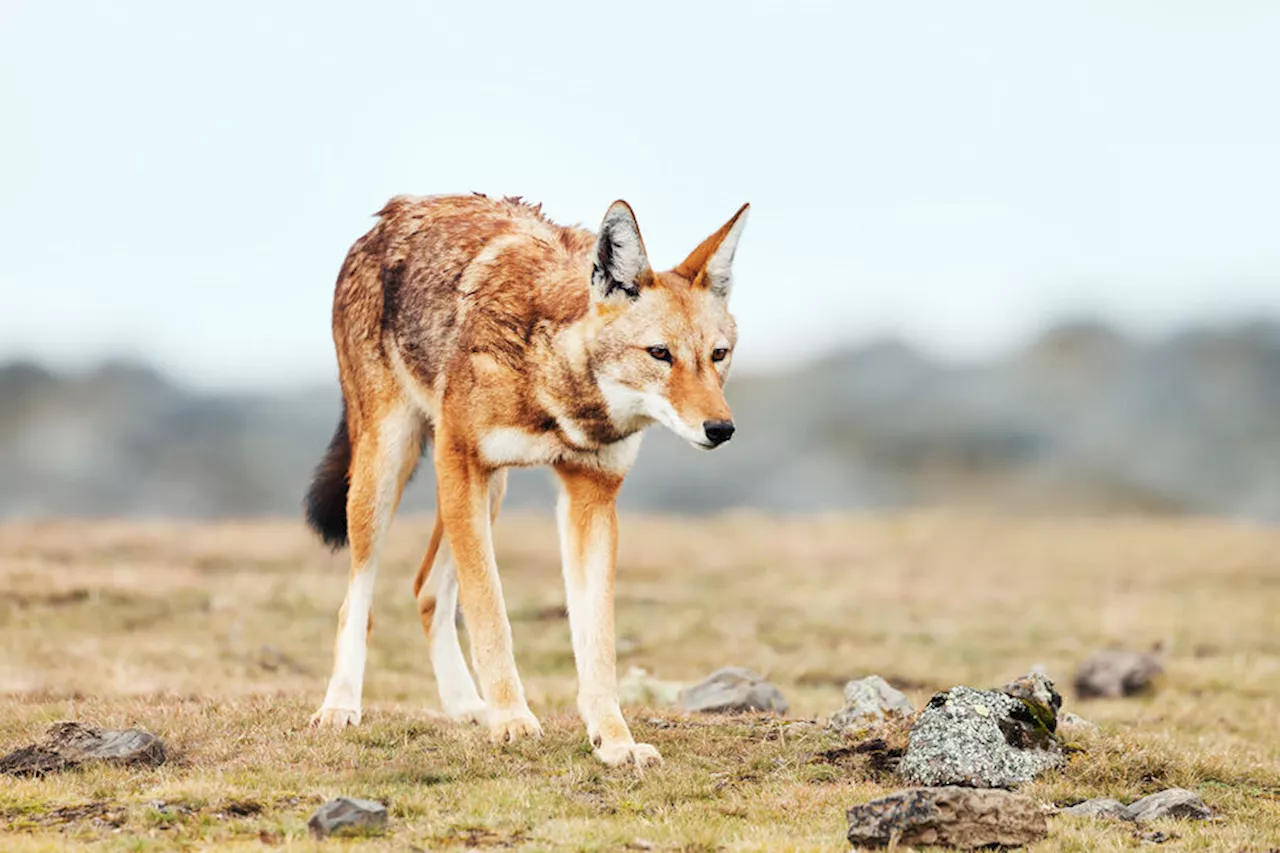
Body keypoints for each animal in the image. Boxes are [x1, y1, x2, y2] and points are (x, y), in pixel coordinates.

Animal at [307, 192, 747, 763]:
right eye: (660, 354)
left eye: (718, 355)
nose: (721, 429)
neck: (554, 384)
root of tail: (391, 213)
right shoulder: (461, 461)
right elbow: (491, 614)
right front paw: (514, 721)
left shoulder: (591, 497)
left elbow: (596, 642)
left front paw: (615, 741)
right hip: (387, 471)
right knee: (357, 600)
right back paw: (340, 706)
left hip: (490, 490)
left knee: (427, 590)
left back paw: (465, 706)